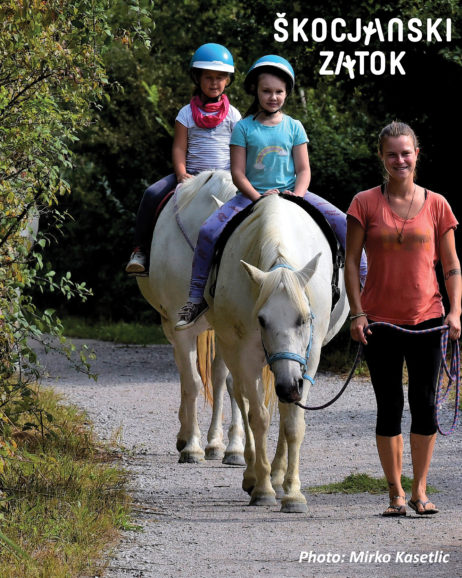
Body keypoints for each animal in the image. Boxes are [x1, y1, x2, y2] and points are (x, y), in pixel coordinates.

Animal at [137, 170, 245, 464]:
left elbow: (231, 383)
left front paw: (233, 448)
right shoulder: (180, 328)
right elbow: (193, 384)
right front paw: (192, 448)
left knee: (216, 379)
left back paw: (215, 443)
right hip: (170, 327)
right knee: (185, 376)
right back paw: (184, 437)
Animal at [208, 195, 348, 512]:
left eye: (305, 318)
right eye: (262, 320)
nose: (289, 385)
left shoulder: (309, 360)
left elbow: (293, 422)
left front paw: (293, 493)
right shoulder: (246, 357)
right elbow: (258, 417)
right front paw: (262, 489)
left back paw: (278, 474)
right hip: (232, 353)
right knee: (241, 398)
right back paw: (252, 473)